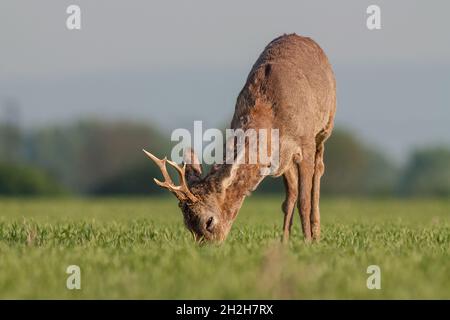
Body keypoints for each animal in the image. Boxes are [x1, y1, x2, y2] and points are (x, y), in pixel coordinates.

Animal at [142, 33, 336, 242]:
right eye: (188, 226)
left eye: (209, 221)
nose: (209, 246)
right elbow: (290, 197)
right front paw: (286, 240)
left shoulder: (305, 142)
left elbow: (304, 200)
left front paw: (308, 241)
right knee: (291, 192)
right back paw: (285, 239)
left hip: (325, 127)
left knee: (319, 170)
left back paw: (316, 232)